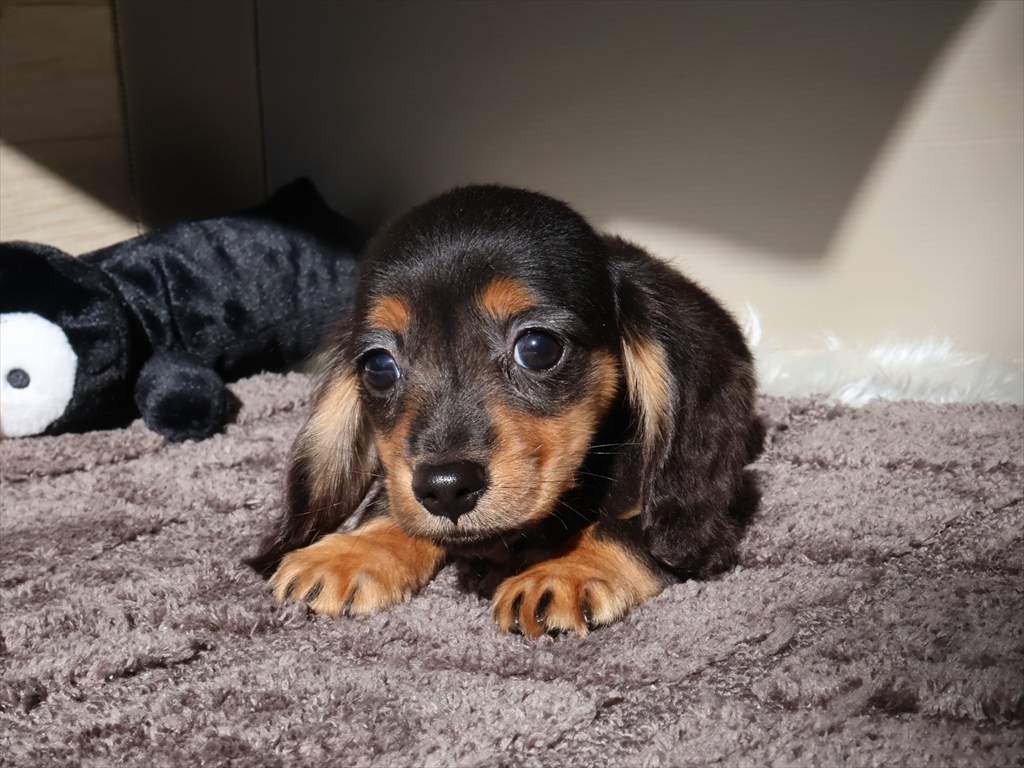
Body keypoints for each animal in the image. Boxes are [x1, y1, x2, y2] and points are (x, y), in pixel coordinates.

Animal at [248, 185, 761, 637]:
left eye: (537, 347)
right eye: (378, 366)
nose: (446, 488)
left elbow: (629, 528)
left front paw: (566, 570)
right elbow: (393, 502)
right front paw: (359, 549)